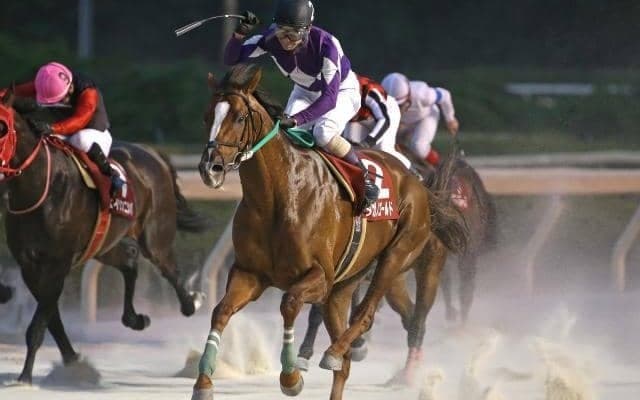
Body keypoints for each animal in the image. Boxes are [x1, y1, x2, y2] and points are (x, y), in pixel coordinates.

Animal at [0, 89, 212, 384]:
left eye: (1, 126)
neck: (40, 186)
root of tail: (153, 153)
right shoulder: (29, 266)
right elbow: (52, 321)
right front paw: (74, 363)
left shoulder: (57, 264)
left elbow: (39, 325)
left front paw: (25, 378)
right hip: (105, 243)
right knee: (130, 260)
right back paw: (135, 318)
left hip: (155, 234)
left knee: (169, 270)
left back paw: (193, 301)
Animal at [192, 64, 467, 400]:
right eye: (207, 116)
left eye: (240, 118)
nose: (211, 168)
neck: (278, 197)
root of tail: (418, 184)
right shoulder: (249, 273)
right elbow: (221, 311)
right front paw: (203, 382)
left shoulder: (319, 276)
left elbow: (290, 303)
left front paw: (291, 375)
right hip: (346, 284)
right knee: (350, 354)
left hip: (401, 256)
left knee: (373, 313)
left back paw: (345, 353)